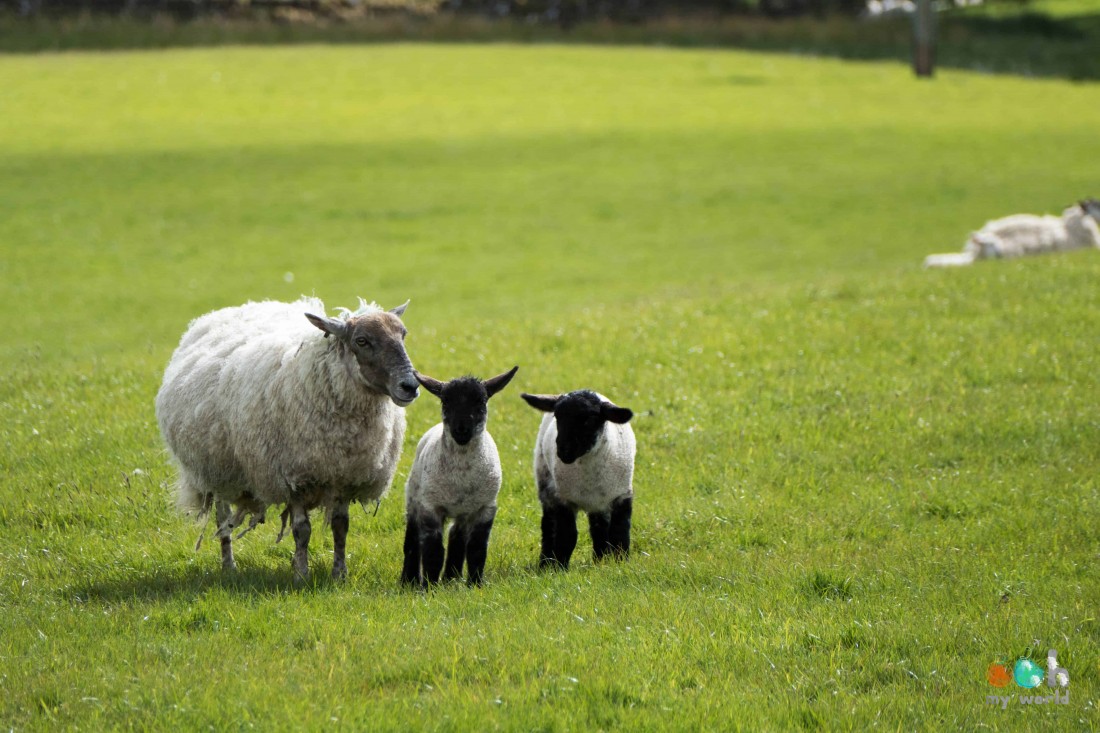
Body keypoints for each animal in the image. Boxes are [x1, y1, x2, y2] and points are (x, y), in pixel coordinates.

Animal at [159, 294, 420, 576]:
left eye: (403, 335)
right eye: (362, 341)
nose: (410, 386)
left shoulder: (345, 476)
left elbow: (341, 526)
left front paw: (339, 574)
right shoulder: (292, 477)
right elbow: (301, 530)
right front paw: (302, 575)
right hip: (217, 471)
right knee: (223, 519)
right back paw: (229, 565)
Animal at [404, 365, 519, 589]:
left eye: (481, 402)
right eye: (445, 402)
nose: (462, 430)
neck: (461, 475)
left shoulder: (485, 508)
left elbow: (476, 548)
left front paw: (475, 585)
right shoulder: (431, 507)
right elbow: (433, 551)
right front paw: (429, 587)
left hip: (464, 512)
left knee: (456, 538)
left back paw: (451, 578)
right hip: (414, 497)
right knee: (412, 540)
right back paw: (409, 580)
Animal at [521, 391, 638, 567]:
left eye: (589, 419)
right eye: (557, 416)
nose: (564, 451)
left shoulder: (622, 496)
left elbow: (620, 534)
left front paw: (620, 564)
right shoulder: (564, 500)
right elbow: (567, 536)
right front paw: (560, 566)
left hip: (600, 502)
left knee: (599, 528)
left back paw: (599, 559)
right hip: (545, 482)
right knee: (548, 525)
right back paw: (545, 562)